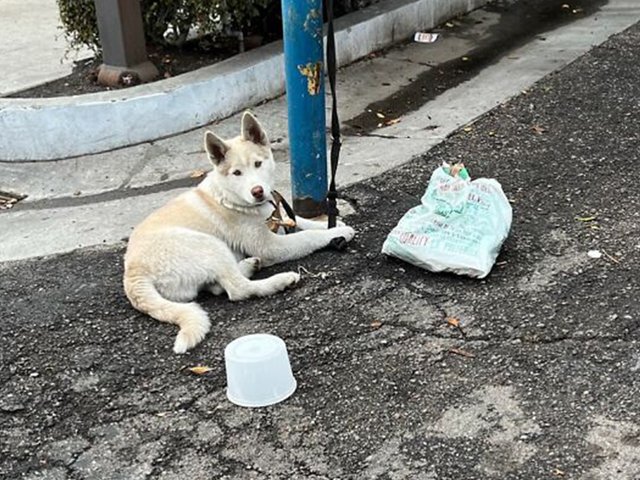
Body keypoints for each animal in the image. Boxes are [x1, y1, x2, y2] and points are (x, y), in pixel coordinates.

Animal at [124, 112, 356, 352]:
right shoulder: (271, 246)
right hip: (210, 245)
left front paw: (332, 225)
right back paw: (278, 281)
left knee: (219, 286)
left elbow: (298, 221)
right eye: (237, 173)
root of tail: (133, 274)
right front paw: (335, 234)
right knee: (237, 289)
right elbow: (305, 236)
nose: (257, 191)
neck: (231, 197)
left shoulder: (277, 217)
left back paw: (250, 265)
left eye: (257, 164)